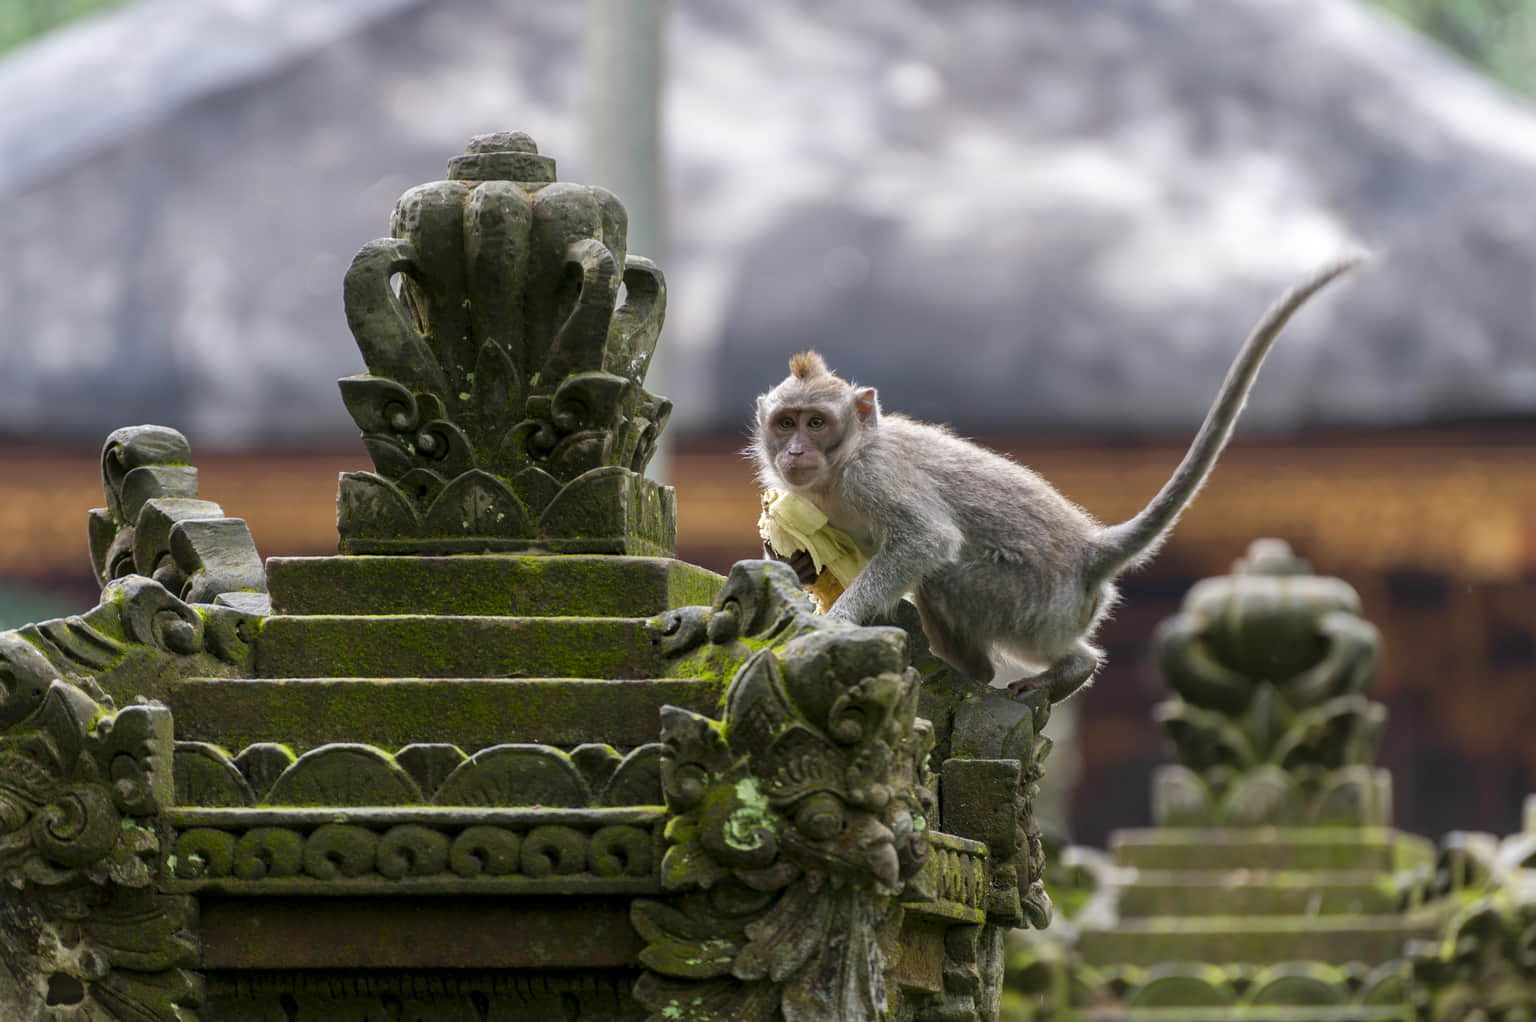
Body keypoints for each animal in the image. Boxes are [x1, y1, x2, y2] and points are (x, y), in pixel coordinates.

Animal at [750, 257, 1361, 703]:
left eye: (816, 422)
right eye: (786, 423)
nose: (796, 449)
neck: (841, 465)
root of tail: (1090, 553)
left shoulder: (873, 477)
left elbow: (927, 541)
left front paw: (838, 620)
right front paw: (798, 564)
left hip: (1033, 603)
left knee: (946, 578)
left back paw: (1054, 668)